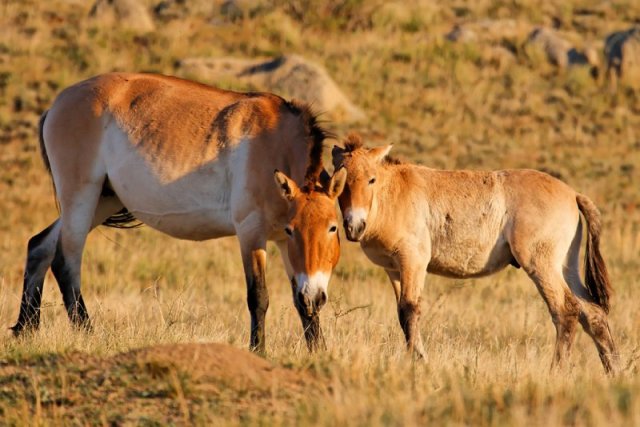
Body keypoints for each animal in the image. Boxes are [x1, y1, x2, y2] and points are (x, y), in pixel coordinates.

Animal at [12, 72, 348, 354]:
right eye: (294, 229)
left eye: (333, 228)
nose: (316, 295)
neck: (273, 141)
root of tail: (57, 104)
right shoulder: (252, 233)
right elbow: (259, 297)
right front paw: (258, 352)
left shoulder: (281, 243)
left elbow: (300, 304)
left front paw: (319, 354)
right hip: (80, 196)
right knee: (66, 262)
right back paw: (88, 334)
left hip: (103, 200)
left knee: (39, 246)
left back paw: (25, 330)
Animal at [332, 134, 619, 374]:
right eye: (339, 180)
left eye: (371, 179)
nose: (354, 225)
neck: (392, 195)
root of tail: (573, 194)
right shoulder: (393, 269)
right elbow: (402, 314)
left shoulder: (413, 261)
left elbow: (410, 310)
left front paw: (420, 361)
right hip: (565, 267)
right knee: (593, 314)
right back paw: (613, 371)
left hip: (542, 265)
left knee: (566, 310)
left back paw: (556, 371)